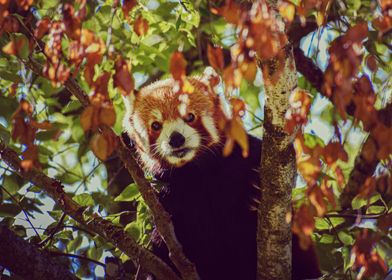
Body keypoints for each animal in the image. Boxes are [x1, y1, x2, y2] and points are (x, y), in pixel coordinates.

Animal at [122, 68, 322, 280]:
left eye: (190, 117)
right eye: (156, 125)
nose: (176, 139)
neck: (199, 170)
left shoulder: (247, 154)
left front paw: (255, 191)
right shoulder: (168, 194)